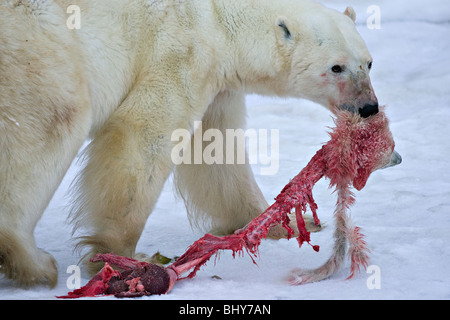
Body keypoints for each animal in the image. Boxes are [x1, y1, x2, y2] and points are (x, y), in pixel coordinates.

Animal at [0, 0, 378, 288]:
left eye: (369, 63)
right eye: (336, 67)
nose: (369, 107)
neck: (219, 18)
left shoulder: (217, 81)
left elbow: (217, 151)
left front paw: (274, 224)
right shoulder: (179, 49)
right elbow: (144, 134)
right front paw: (125, 254)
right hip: (41, 49)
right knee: (52, 124)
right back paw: (32, 262)